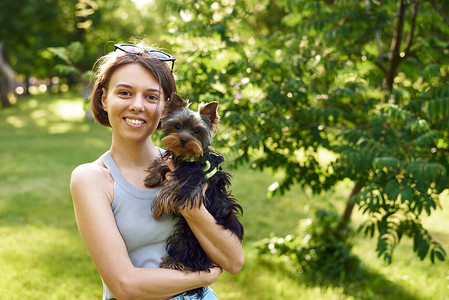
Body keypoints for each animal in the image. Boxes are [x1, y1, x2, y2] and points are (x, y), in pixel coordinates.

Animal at [144, 92, 243, 296]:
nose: (183, 140)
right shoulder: (178, 166)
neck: (188, 158)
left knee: (194, 261)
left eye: (197, 131)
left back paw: (174, 263)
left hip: (186, 239)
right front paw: (152, 176)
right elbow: (165, 165)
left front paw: (157, 207)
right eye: (177, 126)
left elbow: (170, 190)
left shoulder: (192, 185)